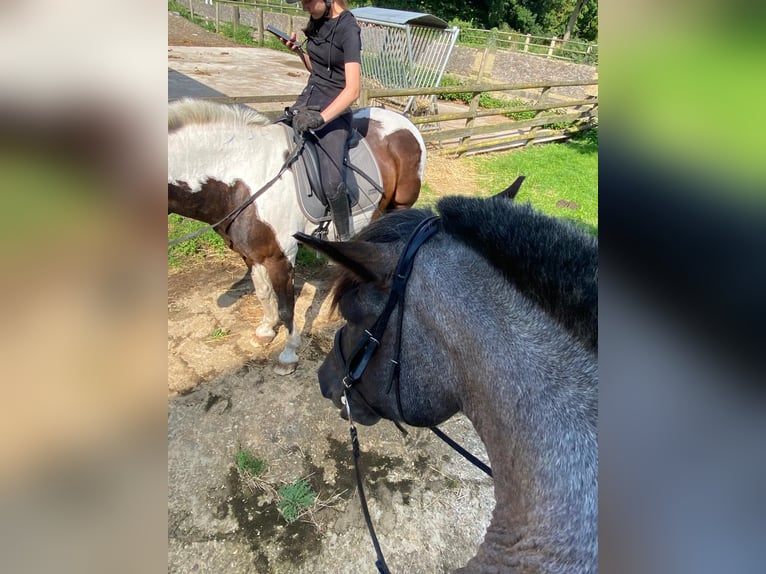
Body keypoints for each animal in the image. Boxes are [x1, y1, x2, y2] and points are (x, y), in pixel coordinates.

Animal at [167, 99, 426, 376]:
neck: (245, 179)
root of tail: (405, 122)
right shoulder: (253, 255)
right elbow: (263, 293)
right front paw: (266, 330)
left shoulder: (281, 258)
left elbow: (286, 307)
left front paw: (288, 354)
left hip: (400, 205)